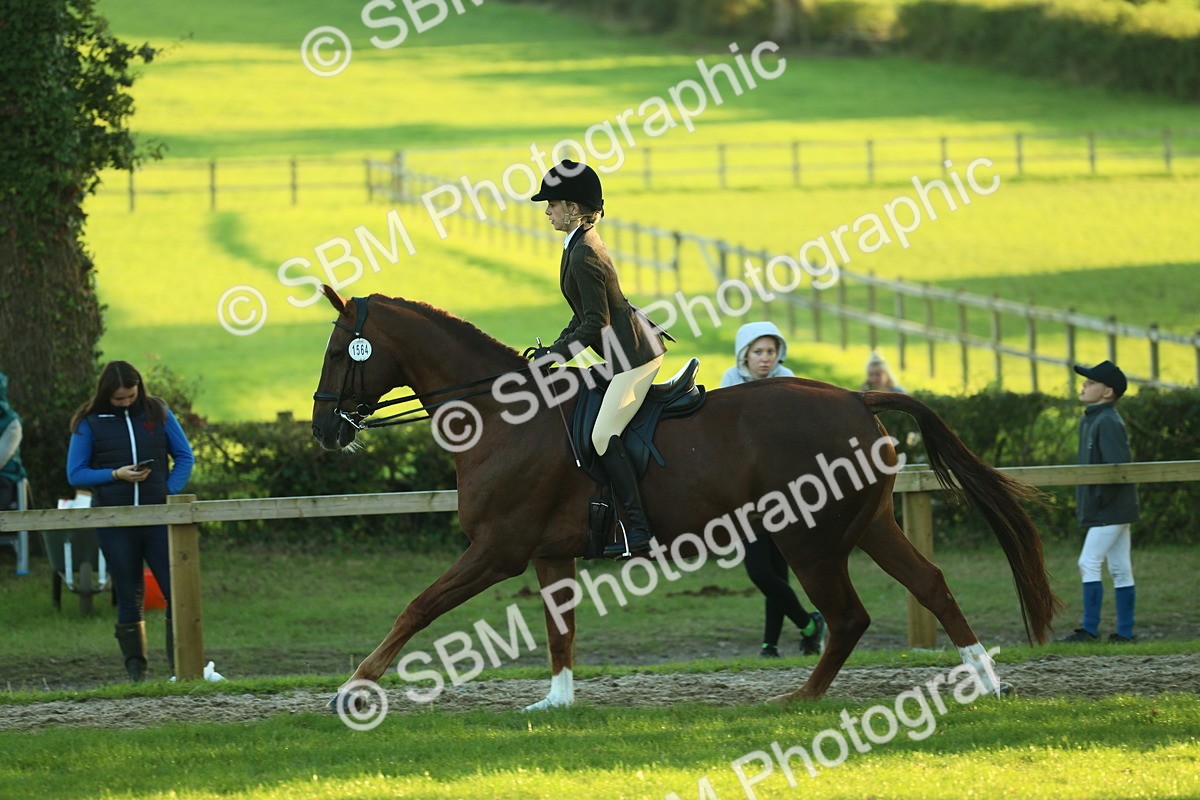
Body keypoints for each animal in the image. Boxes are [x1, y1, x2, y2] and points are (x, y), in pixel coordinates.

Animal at [310, 286, 1061, 709]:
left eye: (342, 350)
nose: (324, 432)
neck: (503, 415)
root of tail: (856, 397)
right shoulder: (549, 553)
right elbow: (560, 630)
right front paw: (555, 705)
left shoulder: (497, 548)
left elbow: (417, 608)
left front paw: (354, 690)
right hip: (868, 526)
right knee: (930, 585)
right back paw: (985, 682)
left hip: (810, 540)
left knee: (848, 618)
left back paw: (799, 699)